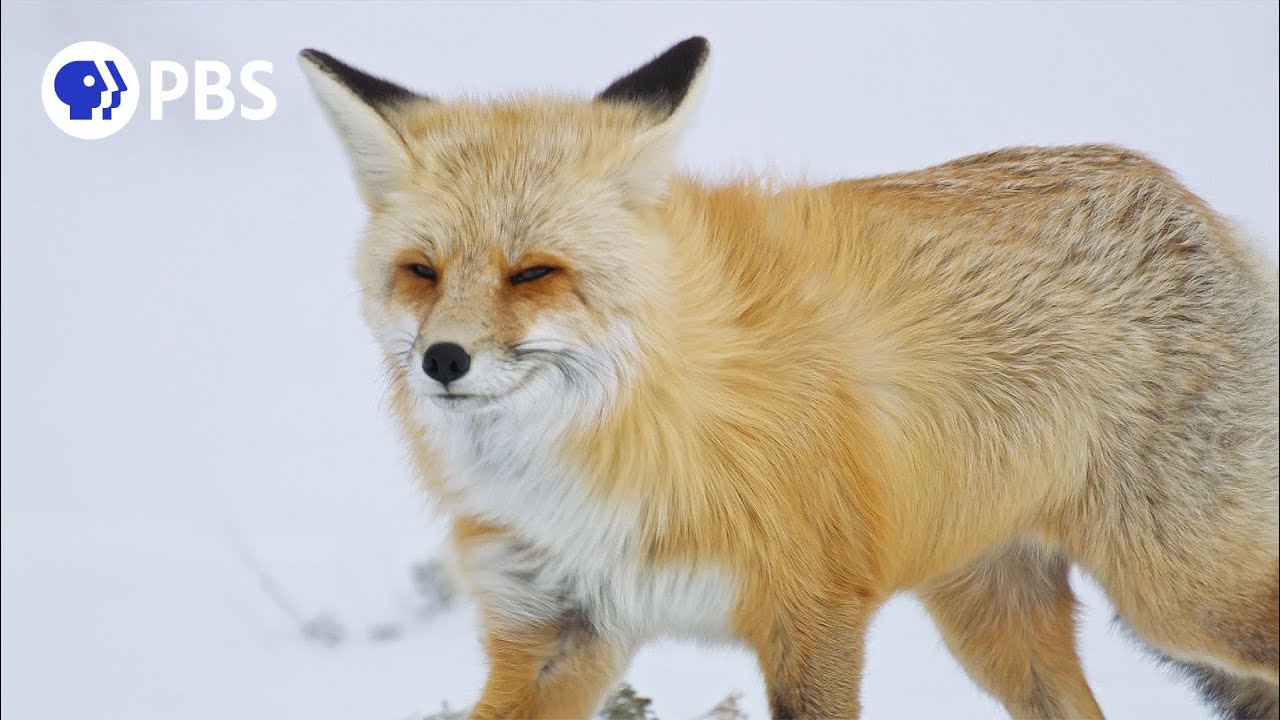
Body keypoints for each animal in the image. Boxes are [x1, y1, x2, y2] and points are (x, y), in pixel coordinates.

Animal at [299, 37, 1279, 719]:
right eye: (421, 272)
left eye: (534, 273)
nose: (444, 360)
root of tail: (1179, 195)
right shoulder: (554, 625)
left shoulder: (813, 613)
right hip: (998, 627)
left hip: (1183, 599)